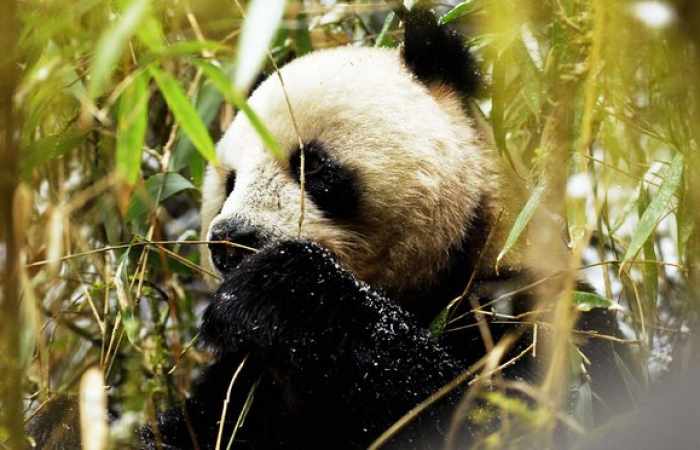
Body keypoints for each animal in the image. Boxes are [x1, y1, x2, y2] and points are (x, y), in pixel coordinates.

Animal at [143, 7, 632, 450]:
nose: (233, 242)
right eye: (229, 181)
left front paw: (276, 290)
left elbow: (482, 416)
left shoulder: (533, 310)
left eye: (311, 165)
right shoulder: (245, 383)